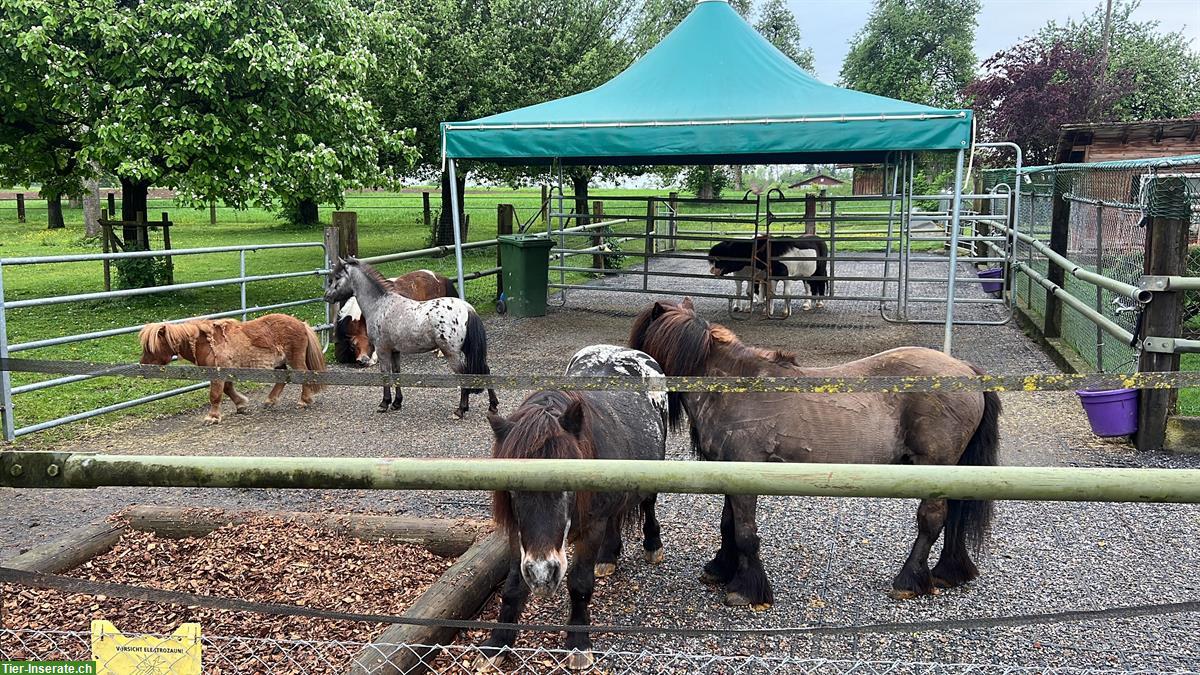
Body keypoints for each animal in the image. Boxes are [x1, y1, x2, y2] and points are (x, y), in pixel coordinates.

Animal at [138, 312, 326, 422]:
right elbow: (228, 389)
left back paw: (304, 400)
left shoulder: (217, 373)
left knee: (304, 375)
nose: (142, 366)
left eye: (151, 347)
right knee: (283, 379)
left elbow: (215, 395)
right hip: (278, 363)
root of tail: (301, 324)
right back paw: (270, 401)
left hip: (295, 359)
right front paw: (241, 405)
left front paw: (212, 417)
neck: (207, 343)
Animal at [321, 255, 499, 415]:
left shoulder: (382, 350)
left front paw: (384, 403)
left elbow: (385, 374)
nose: (327, 296)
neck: (380, 304)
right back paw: (493, 406)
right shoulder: (395, 351)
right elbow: (397, 373)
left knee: (464, 375)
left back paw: (461, 410)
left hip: (452, 353)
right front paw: (396, 403)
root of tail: (467, 308)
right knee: (485, 370)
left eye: (337, 277)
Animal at [475, 343, 667, 667]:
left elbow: (579, 584)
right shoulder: (517, 535)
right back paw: (608, 556)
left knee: (648, 504)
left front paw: (578, 644)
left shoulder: (591, 528)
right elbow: (513, 585)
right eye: (511, 489)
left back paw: (653, 545)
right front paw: (497, 643)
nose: (542, 574)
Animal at [628, 296, 1003, 607]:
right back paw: (947, 572)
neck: (731, 387)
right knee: (955, 516)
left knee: (932, 521)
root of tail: (968, 371)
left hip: (935, 466)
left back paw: (909, 580)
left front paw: (746, 590)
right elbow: (728, 525)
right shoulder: (730, 473)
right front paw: (721, 568)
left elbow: (745, 533)